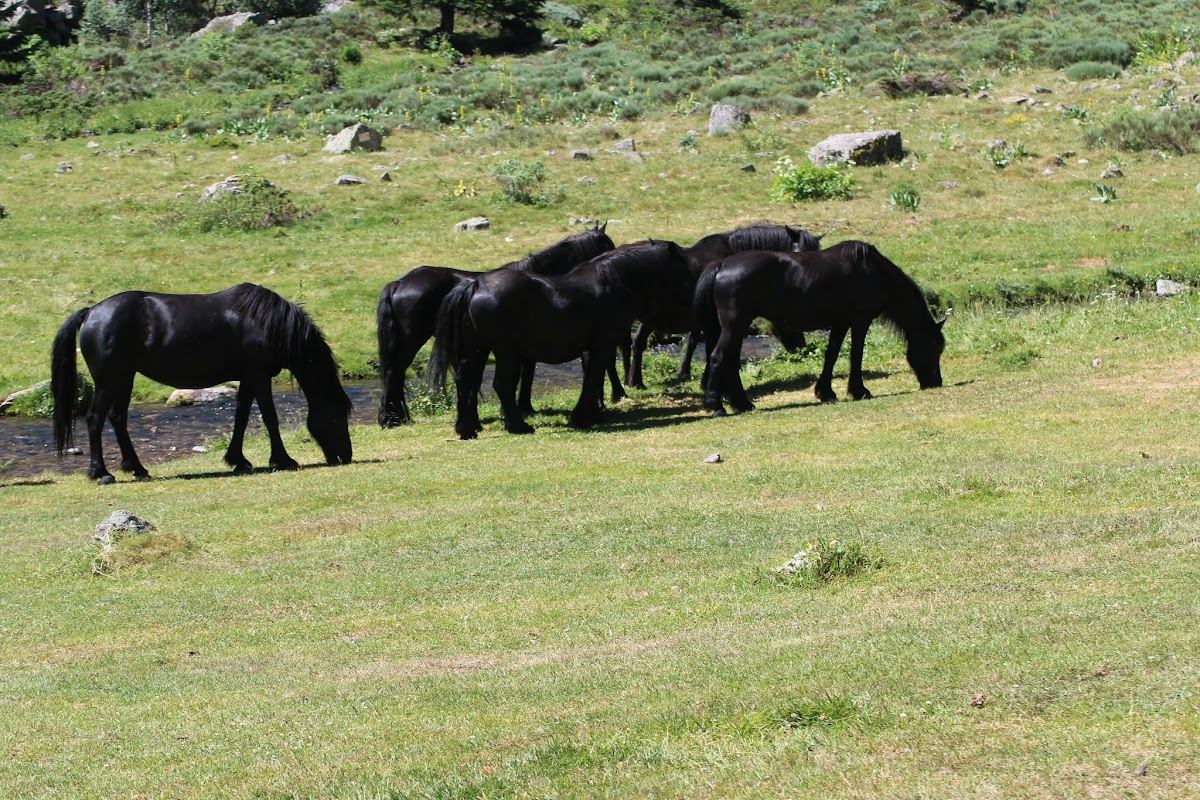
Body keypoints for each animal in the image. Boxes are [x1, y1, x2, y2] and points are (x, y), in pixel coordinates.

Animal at [52, 284, 350, 484]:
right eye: (337, 417)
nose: (345, 457)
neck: (266, 322)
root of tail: (91, 312)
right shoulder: (259, 375)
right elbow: (269, 418)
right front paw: (283, 460)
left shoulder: (247, 377)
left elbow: (241, 417)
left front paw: (238, 460)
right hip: (109, 379)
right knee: (95, 418)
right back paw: (101, 473)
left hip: (125, 377)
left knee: (117, 418)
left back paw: (137, 468)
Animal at [376, 221, 619, 429]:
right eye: (607, 245)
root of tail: (399, 283)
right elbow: (523, 376)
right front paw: (519, 410)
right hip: (412, 339)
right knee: (394, 373)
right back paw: (391, 419)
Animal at [432, 241, 696, 441]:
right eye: (684, 268)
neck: (612, 284)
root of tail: (476, 284)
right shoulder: (602, 345)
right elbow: (592, 378)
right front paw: (581, 417)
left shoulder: (592, 349)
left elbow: (593, 377)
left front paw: (594, 414)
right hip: (505, 352)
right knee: (502, 385)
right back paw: (518, 426)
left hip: (476, 350)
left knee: (465, 382)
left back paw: (466, 429)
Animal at [696, 242, 945, 419]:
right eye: (935, 347)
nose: (936, 382)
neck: (872, 272)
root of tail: (721, 266)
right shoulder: (860, 320)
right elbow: (856, 354)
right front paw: (859, 390)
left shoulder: (840, 322)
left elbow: (831, 355)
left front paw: (826, 392)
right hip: (735, 325)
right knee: (719, 358)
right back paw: (717, 407)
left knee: (730, 363)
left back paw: (743, 404)